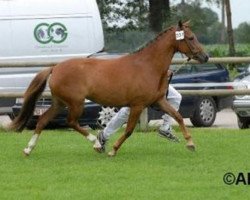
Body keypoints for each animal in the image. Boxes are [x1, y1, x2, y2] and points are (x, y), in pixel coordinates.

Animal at [8, 21, 208, 156]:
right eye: (191, 38)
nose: (205, 56)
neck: (147, 66)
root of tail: (55, 67)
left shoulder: (158, 101)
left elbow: (178, 116)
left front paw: (190, 143)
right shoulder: (137, 105)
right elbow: (129, 130)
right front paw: (113, 150)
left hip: (59, 103)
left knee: (42, 120)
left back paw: (28, 149)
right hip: (76, 103)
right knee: (71, 122)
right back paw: (97, 144)